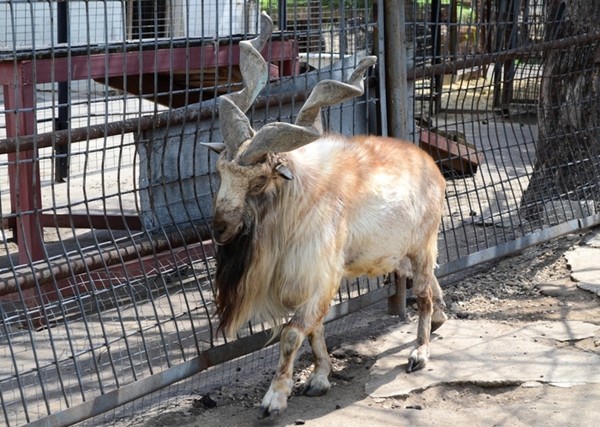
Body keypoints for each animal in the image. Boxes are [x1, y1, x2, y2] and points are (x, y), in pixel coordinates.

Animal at [204, 12, 448, 418]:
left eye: (259, 180)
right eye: (219, 172)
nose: (220, 229)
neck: (295, 198)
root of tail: (431, 165)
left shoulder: (318, 276)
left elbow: (292, 333)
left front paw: (275, 398)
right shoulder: (308, 283)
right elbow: (315, 329)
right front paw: (320, 378)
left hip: (423, 245)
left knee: (424, 294)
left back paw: (420, 352)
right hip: (402, 253)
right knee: (432, 287)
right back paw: (444, 316)